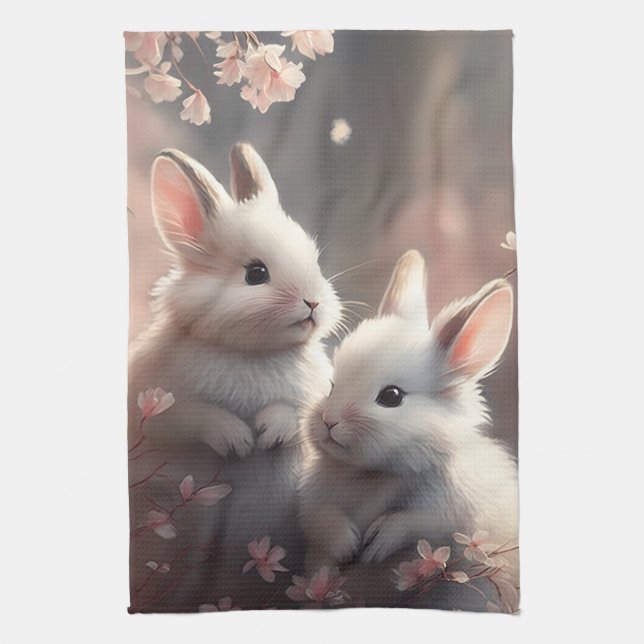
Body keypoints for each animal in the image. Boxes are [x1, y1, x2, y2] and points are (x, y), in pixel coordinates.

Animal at [128, 143, 341, 611]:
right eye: (255, 274)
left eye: (314, 260)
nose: (313, 302)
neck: (252, 353)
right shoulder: (158, 403)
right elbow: (194, 417)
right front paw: (238, 441)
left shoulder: (315, 397)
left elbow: (297, 414)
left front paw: (270, 431)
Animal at [298, 249, 518, 609]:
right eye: (331, 385)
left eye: (391, 396)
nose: (330, 421)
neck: (374, 475)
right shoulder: (312, 501)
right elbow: (319, 518)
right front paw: (347, 543)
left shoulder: (455, 514)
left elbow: (418, 522)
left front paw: (376, 543)